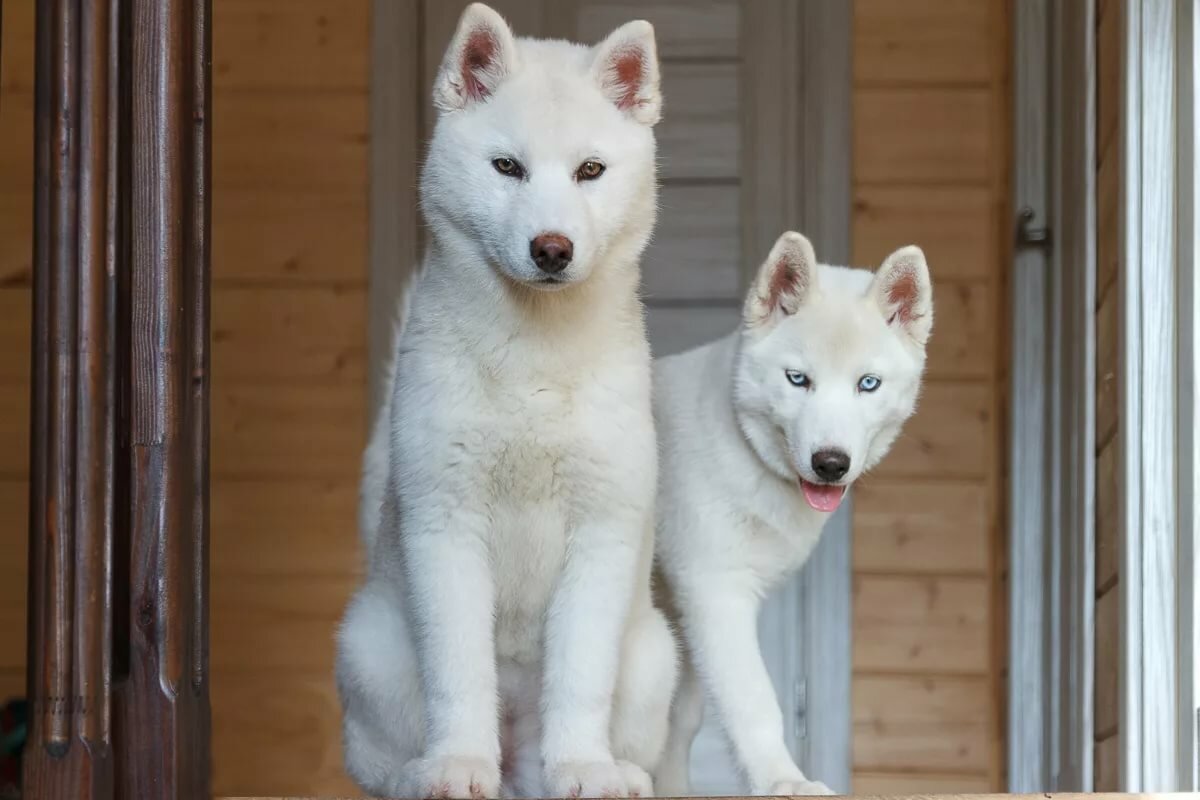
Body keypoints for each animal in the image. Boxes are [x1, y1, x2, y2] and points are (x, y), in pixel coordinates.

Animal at [336, 3, 676, 796]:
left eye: (590, 171)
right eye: (507, 168)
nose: (551, 248)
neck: (533, 361)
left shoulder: (602, 529)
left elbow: (579, 674)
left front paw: (582, 766)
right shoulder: (446, 521)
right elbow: (459, 671)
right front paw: (458, 764)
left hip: (653, 662)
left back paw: (613, 771)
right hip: (369, 651)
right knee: (375, 766)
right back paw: (421, 771)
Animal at [652, 230, 931, 796]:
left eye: (868, 384)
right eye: (798, 379)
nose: (830, 463)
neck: (743, 451)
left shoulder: (689, 608)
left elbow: (680, 722)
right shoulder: (717, 592)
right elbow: (755, 702)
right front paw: (784, 781)